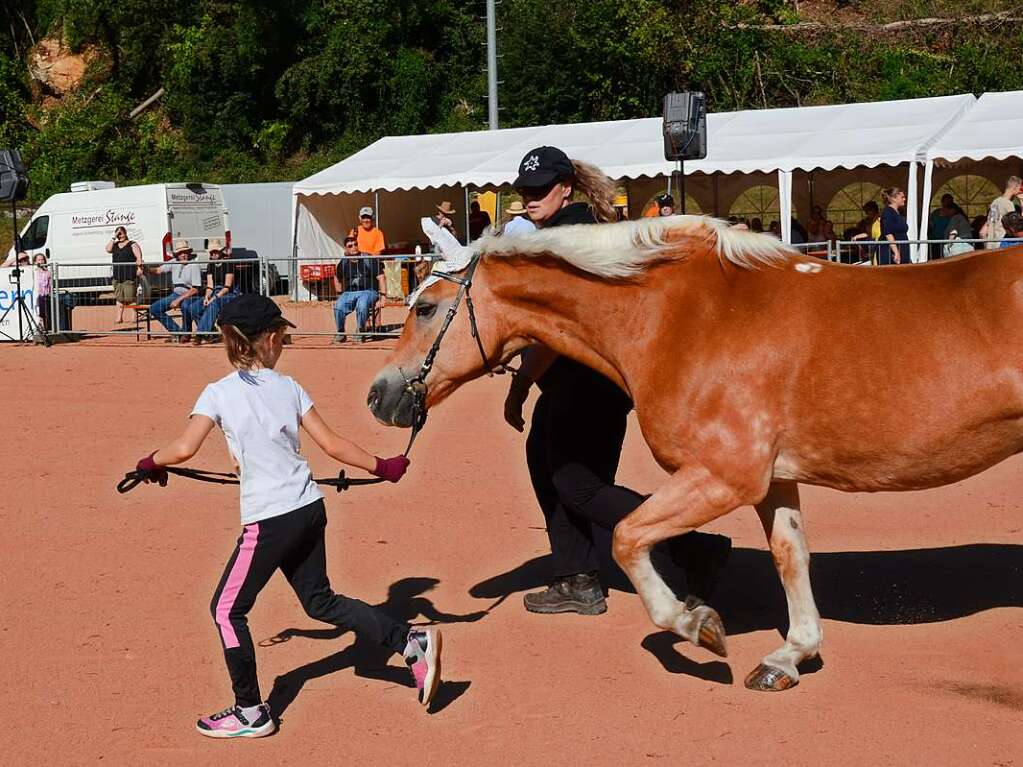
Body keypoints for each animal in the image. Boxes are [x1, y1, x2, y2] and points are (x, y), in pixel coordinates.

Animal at [368, 213, 1023, 695]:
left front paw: (696, 623)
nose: (378, 394)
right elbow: (790, 556)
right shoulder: (771, 480)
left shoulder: (724, 475)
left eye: (425, 308)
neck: (683, 318)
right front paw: (792, 654)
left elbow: (627, 535)